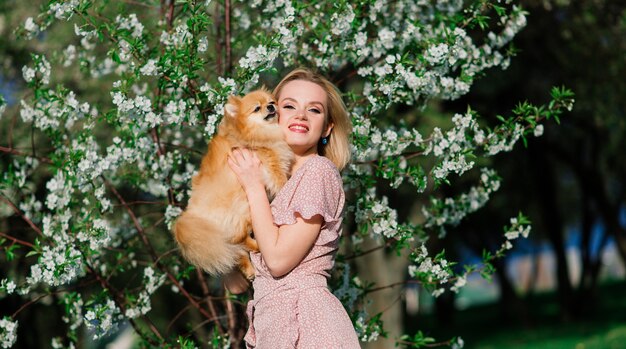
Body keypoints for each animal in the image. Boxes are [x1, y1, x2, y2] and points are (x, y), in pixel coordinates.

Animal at [172, 88, 292, 278]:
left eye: (271, 102)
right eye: (257, 108)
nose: (271, 107)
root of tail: (192, 215)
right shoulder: (272, 165)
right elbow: (281, 181)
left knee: (235, 249)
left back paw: (248, 269)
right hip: (243, 210)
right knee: (240, 240)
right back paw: (256, 248)